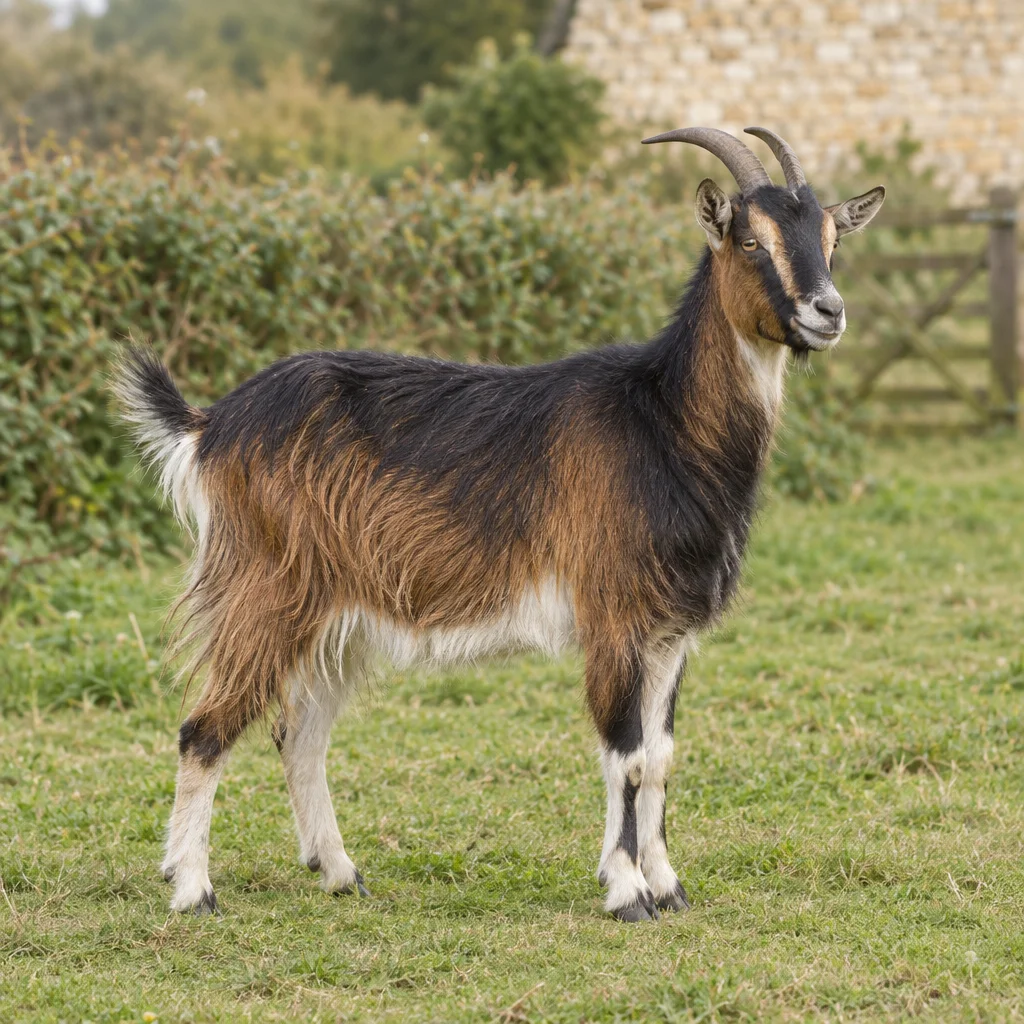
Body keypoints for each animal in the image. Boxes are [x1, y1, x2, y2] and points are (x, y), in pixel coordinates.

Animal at [116, 127, 884, 921]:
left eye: (830, 238)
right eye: (751, 240)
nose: (828, 311)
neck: (663, 421)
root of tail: (210, 425)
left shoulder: (671, 633)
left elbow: (662, 757)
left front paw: (668, 885)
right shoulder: (612, 616)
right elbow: (625, 755)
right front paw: (626, 892)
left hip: (339, 618)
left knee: (298, 735)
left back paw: (340, 872)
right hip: (266, 590)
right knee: (204, 728)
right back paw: (194, 889)